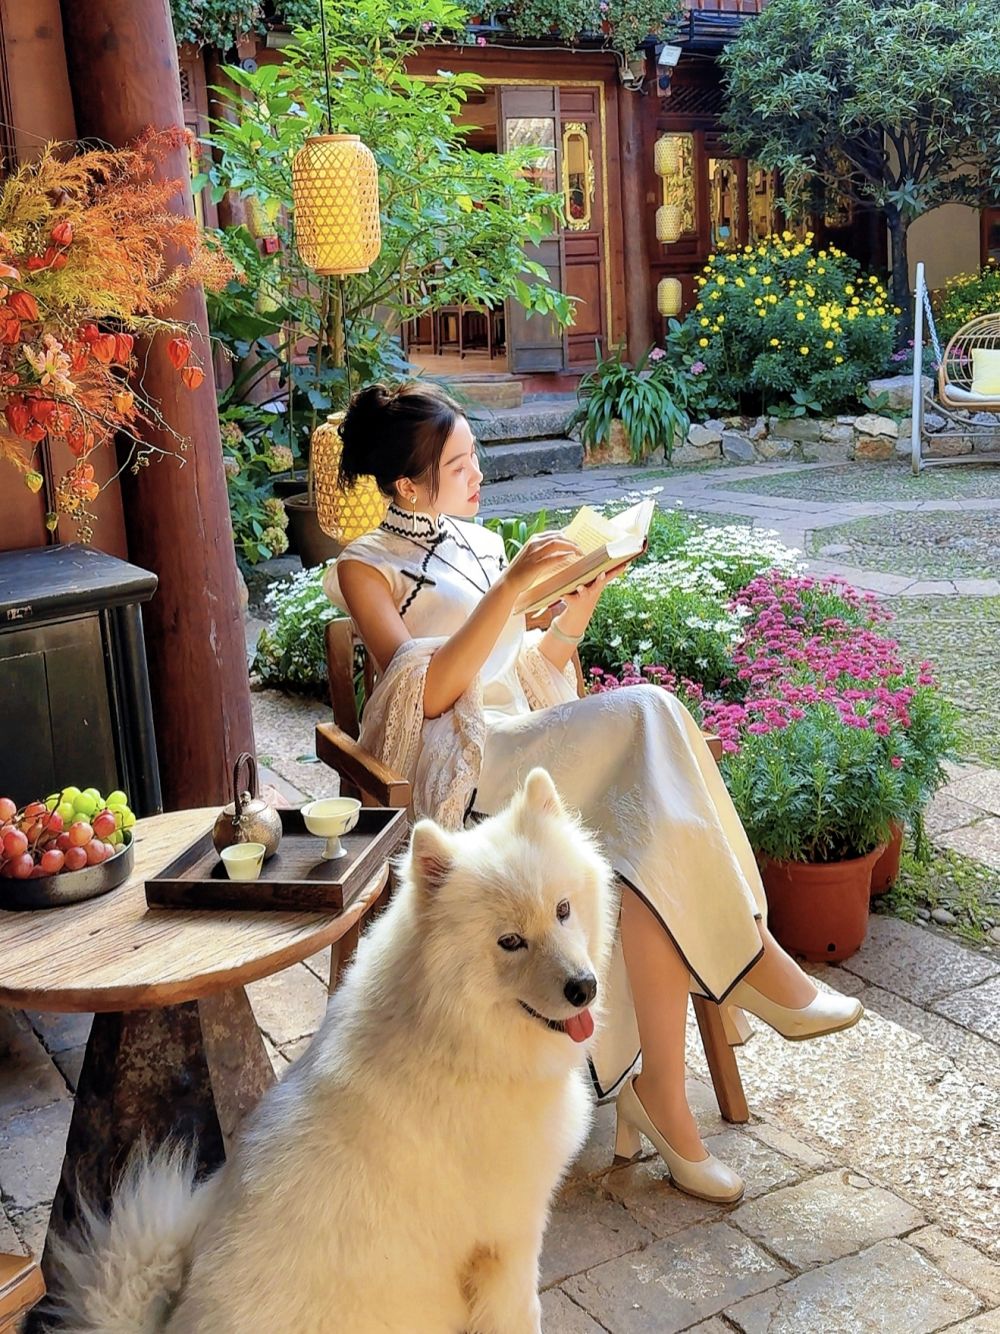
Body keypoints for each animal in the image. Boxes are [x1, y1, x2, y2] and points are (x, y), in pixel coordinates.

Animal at [51, 768, 615, 1334]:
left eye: (563, 910)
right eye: (510, 941)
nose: (583, 988)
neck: (456, 1040)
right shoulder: (509, 1239)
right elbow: (523, 1313)